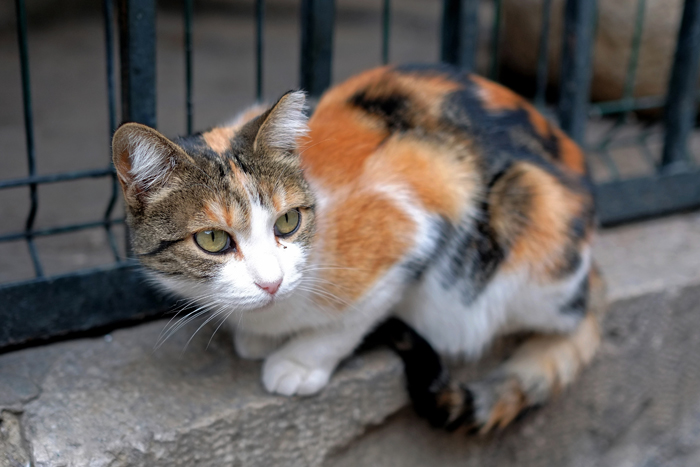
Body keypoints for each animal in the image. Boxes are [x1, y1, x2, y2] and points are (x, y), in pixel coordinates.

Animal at [112, 64, 604, 434]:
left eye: (288, 221)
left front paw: (298, 362)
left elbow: (352, 320)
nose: (272, 282)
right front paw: (256, 337)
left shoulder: (415, 222)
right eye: (213, 240)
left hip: (530, 214)